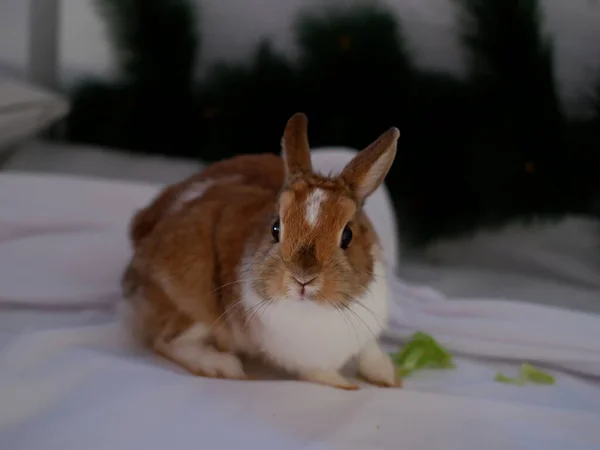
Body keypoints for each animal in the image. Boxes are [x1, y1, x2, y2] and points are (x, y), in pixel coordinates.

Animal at [122, 112, 400, 390]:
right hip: (192, 296)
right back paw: (222, 366)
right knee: (165, 340)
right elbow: (318, 373)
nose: (303, 279)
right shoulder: (300, 358)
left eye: (347, 235)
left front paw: (389, 376)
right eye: (276, 228)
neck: (317, 310)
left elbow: (369, 352)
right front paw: (346, 385)